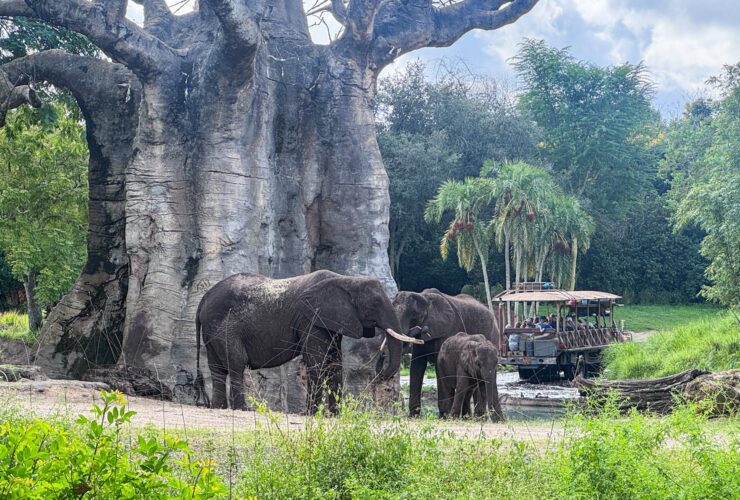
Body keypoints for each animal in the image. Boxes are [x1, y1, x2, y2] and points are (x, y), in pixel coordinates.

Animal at [194, 270, 416, 412]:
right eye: (375, 303)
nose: (381, 372)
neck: (346, 279)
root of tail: (203, 299)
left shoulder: (330, 321)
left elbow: (335, 363)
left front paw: (334, 415)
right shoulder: (310, 319)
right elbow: (316, 362)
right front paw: (312, 413)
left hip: (212, 330)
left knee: (217, 368)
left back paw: (219, 407)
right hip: (224, 328)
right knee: (236, 363)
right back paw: (243, 409)